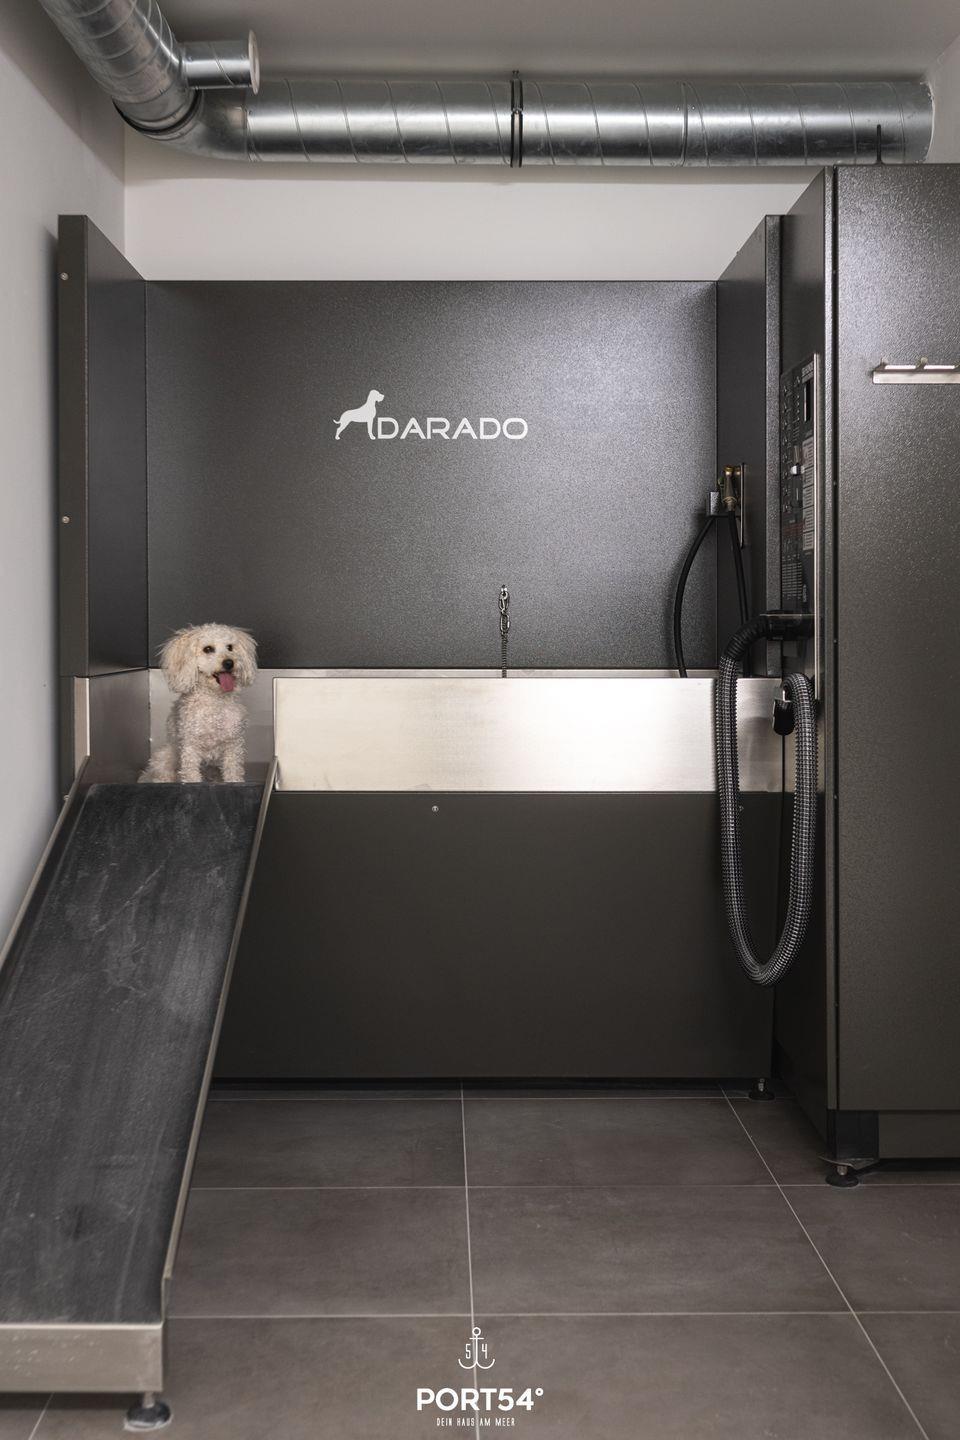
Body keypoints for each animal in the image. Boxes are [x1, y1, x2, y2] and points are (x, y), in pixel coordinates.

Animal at [140, 623, 257, 784]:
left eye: (230, 647)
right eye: (208, 649)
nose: (229, 662)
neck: (214, 701)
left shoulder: (233, 746)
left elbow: (233, 772)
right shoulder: (190, 748)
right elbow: (191, 775)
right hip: (165, 757)